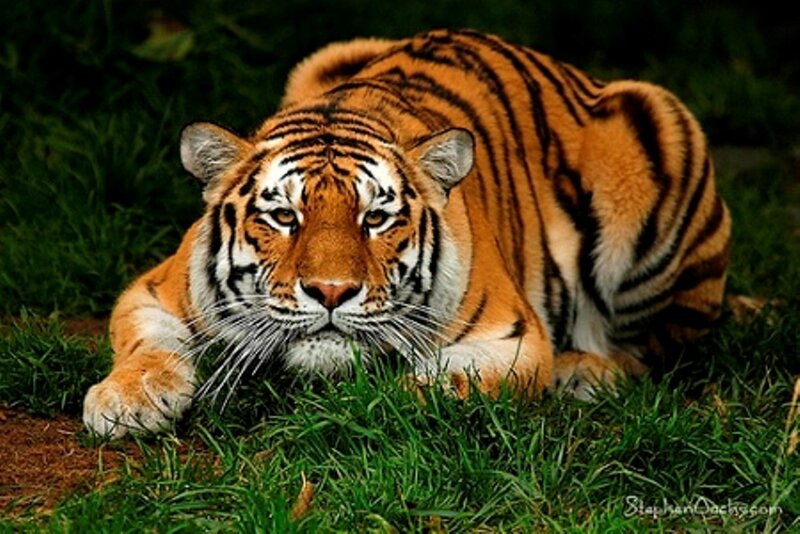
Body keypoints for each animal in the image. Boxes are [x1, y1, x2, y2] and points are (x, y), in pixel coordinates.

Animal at [83, 29, 731, 438]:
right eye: (285, 217)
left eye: (376, 218)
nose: (331, 292)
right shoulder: (153, 290)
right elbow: (147, 345)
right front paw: (124, 401)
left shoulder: (513, 339)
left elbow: (439, 386)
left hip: (657, 131)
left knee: (657, 350)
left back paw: (585, 372)